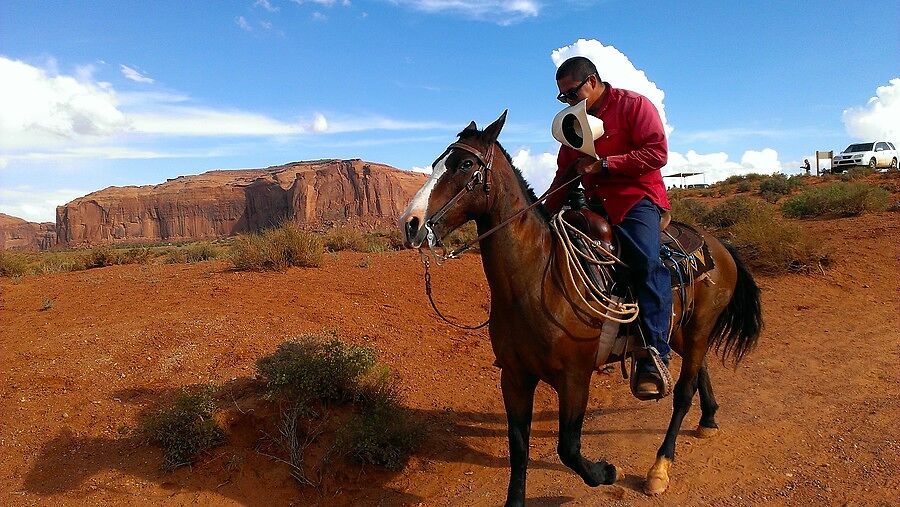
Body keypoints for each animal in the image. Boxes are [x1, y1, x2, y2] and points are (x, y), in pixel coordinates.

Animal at [400, 113, 760, 506]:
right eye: (435, 163)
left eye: (465, 164)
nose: (411, 223)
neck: (539, 280)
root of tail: (717, 245)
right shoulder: (514, 376)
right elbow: (519, 447)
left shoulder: (575, 377)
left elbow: (568, 448)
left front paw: (605, 472)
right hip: (681, 330)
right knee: (699, 372)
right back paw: (708, 420)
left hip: (696, 330)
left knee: (682, 392)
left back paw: (659, 468)